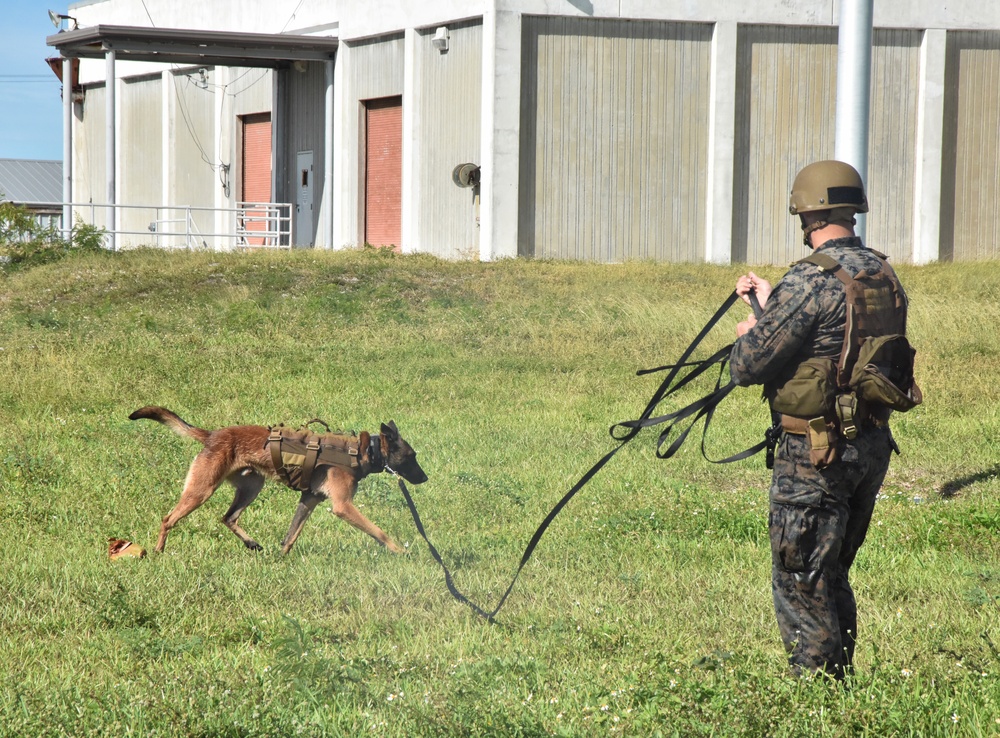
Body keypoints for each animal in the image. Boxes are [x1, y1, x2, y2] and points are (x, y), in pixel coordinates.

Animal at [128, 406, 426, 556]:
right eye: (411, 457)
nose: (425, 478)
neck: (364, 450)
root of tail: (213, 435)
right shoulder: (343, 506)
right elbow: (379, 531)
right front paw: (399, 550)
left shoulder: (309, 499)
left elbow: (291, 535)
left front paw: (281, 558)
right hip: (202, 490)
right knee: (168, 519)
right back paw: (159, 550)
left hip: (251, 487)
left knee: (228, 517)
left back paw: (252, 544)